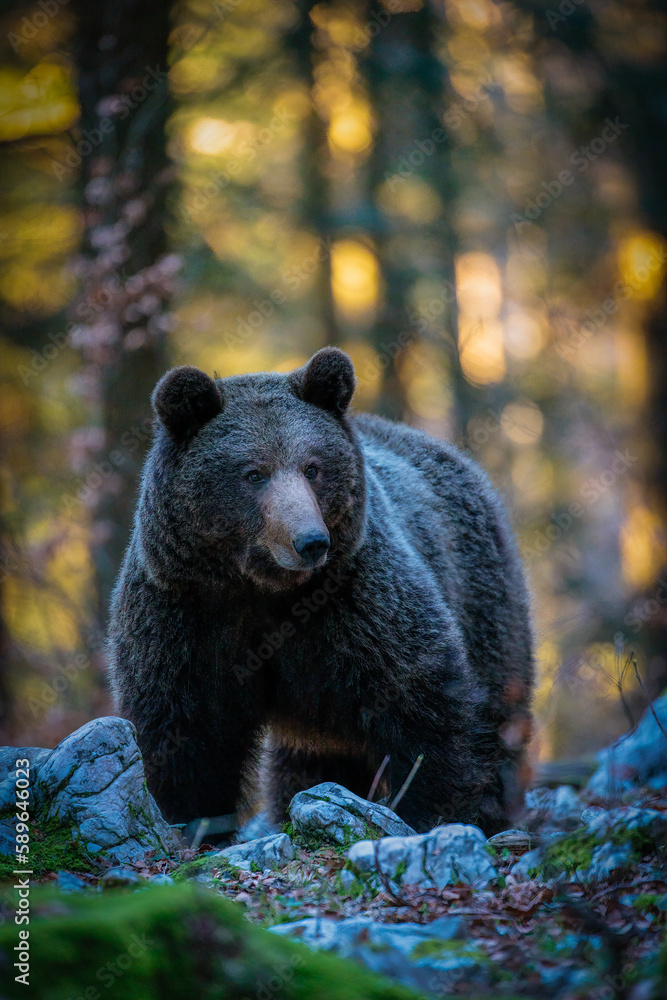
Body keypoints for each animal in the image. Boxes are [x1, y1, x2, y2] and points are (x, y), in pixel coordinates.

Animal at [107, 347, 533, 836]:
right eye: (253, 473)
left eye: (312, 467)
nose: (310, 541)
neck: (262, 587)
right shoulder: (183, 611)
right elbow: (186, 731)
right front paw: (194, 823)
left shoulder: (357, 599)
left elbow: (421, 700)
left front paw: (431, 811)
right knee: (309, 762)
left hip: (480, 592)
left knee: (500, 706)